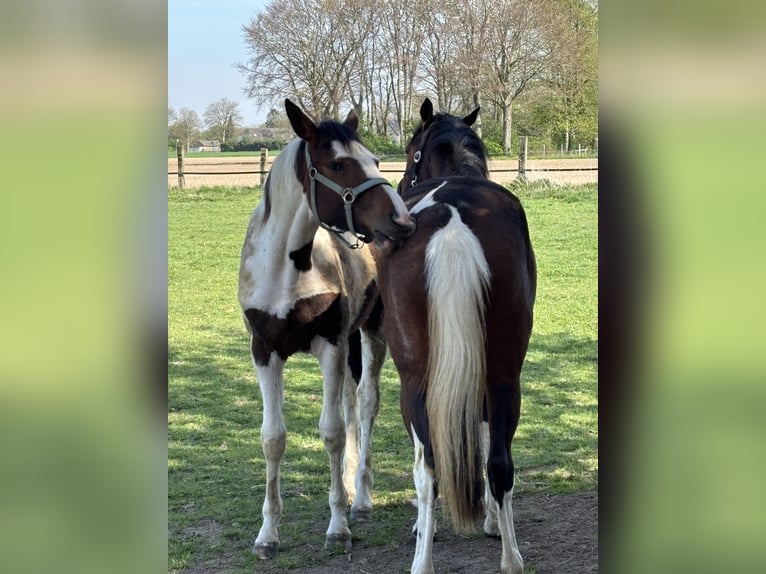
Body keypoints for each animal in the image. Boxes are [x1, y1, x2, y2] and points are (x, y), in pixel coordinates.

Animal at [238, 99, 415, 558]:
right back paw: (353, 489)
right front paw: (267, 535)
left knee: (366, 403)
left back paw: (362, 498)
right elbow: (273, 437)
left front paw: (338, 526)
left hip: (370, 333)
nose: (403, 220)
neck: (287, 268)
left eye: (374, 160)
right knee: (352, 402)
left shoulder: (329, 345)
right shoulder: (264, 351)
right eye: (337, 164)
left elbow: (332, 432)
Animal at [370, 98, 536, 574]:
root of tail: (453, 223)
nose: (399, 186)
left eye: (411, 153)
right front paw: (492, 521)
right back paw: (511, 560)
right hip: (505, 375)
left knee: (427, 469)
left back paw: (423, 561)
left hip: (414, 382)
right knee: (500, 463)